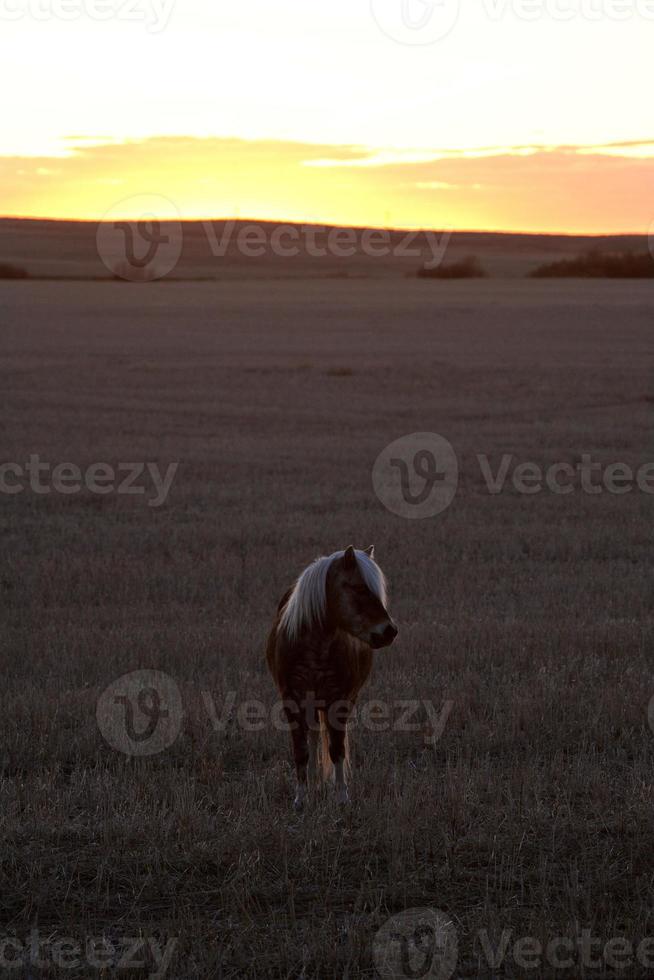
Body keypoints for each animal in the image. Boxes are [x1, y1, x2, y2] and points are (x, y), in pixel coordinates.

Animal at [266, 548, 400, 808]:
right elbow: (301, 750)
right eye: (359, 588)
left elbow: (337, 749)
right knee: (313, 737)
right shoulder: (292, 701)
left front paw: (341, 798)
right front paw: (301, 798)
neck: (313, 646)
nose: (389, 631)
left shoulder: (338, 701)